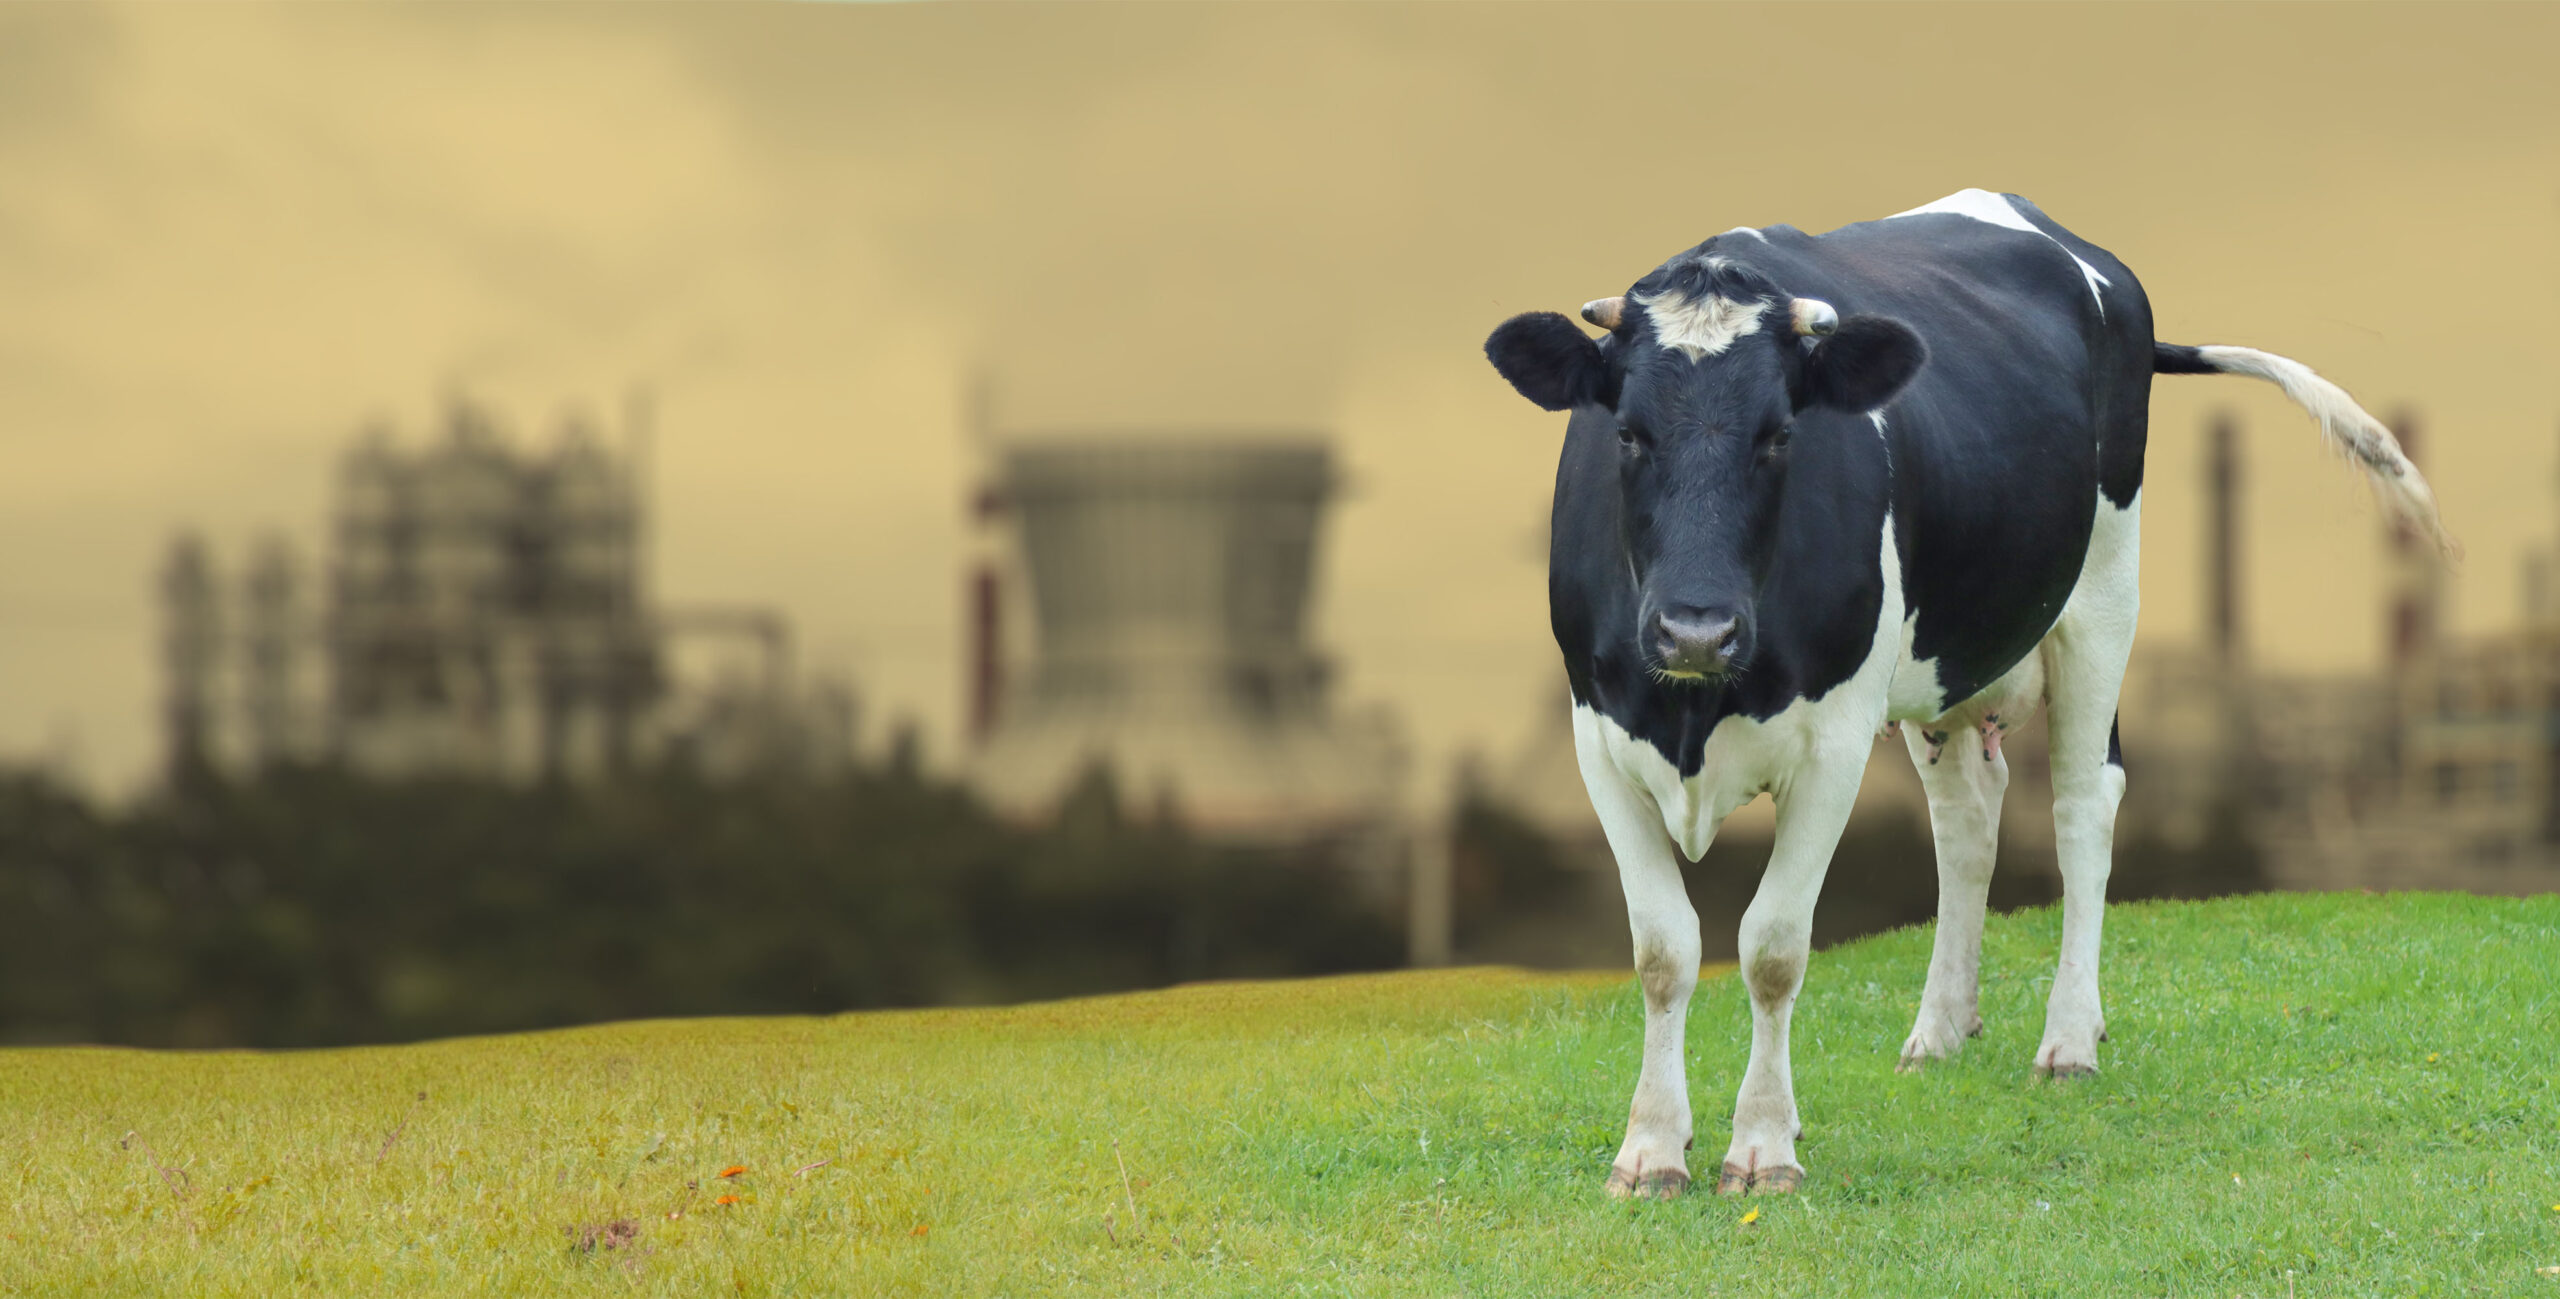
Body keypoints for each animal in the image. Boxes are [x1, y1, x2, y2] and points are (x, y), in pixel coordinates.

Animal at [1495, 190, 2447, 1199]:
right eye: (1627, 433)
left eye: (1780, 434)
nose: (1695, 630)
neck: (1695, 707)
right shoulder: (1598, 734)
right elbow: (1664, 948)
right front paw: (1648, 1150)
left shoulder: (1835, 739)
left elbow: (1773, 946)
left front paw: (1762, 1145)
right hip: (1947, 663)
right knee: (1967, 823)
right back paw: (1941, 1027)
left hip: (2103, 598)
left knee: (2083, 806)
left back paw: (2069, 1038)